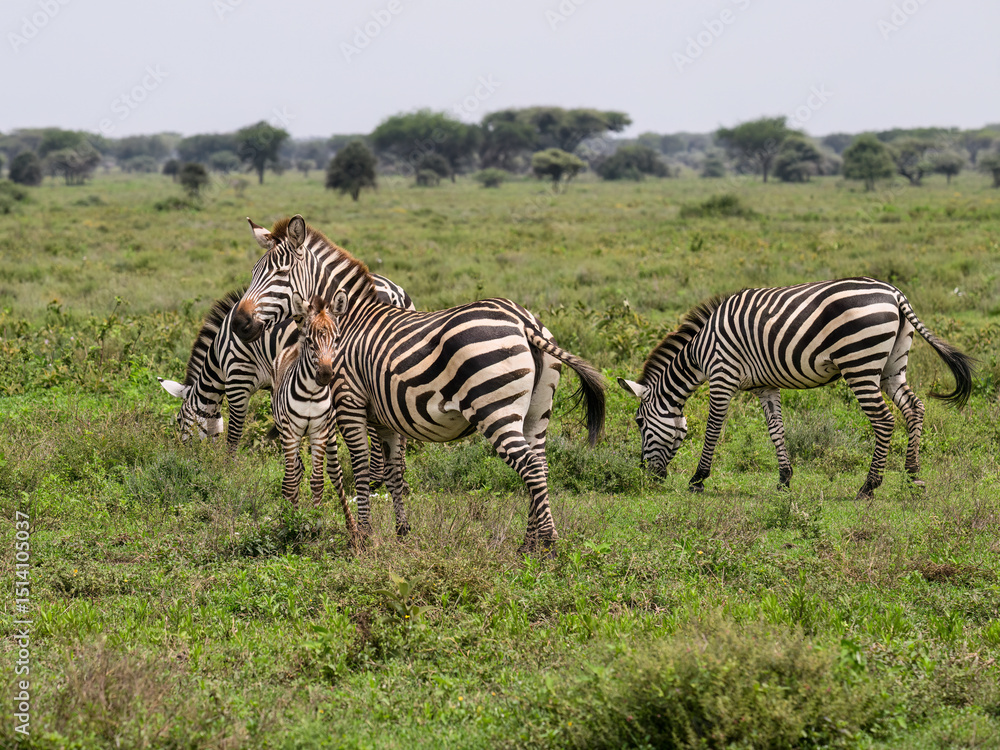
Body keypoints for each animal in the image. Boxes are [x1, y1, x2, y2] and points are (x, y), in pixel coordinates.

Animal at [270, 293, 358, 543]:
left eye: (337, 339)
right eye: (310, 341)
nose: (326, 375)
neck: (310, 393)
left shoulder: (320, 431)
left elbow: (318, 481)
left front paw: (316, 526)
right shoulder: (291, 433)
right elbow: (291, 482)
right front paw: (290, 525)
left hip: (330, 434)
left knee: (335, 475)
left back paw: (352, 526)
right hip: (285, 432)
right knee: (293, 473)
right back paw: (289, 515)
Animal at [618, 277, 974, 500]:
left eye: (639, 423)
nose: (646, 477)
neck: (700, 351)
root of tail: (895, 293)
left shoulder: (722, 376)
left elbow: (713, 429)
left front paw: (697, 480)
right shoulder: (765, 386)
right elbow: (775, 429)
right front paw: (785, 479)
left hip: (859, 363)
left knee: (884, 420)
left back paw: (869, 486)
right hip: (891, 366)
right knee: (915, 408)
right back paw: (914, 477)